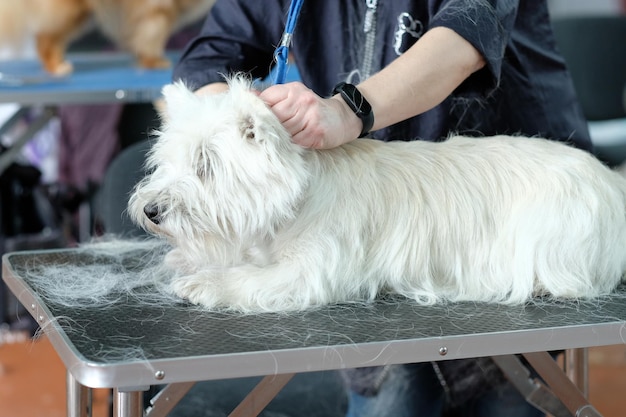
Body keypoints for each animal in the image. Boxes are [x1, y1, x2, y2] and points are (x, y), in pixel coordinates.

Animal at [0, 0, 214, 75]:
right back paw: (56, 66)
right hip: (71, 12)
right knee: (45, 38)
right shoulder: (156, 12)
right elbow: (152, 38)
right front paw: (154, 61)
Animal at [127, 76, 624, 310]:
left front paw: (204, 283)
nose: (151, 210)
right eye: (166, 161)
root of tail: (611, 182)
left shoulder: (314, 268)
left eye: (206, 165)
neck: (298, 200)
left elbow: (253, 279)